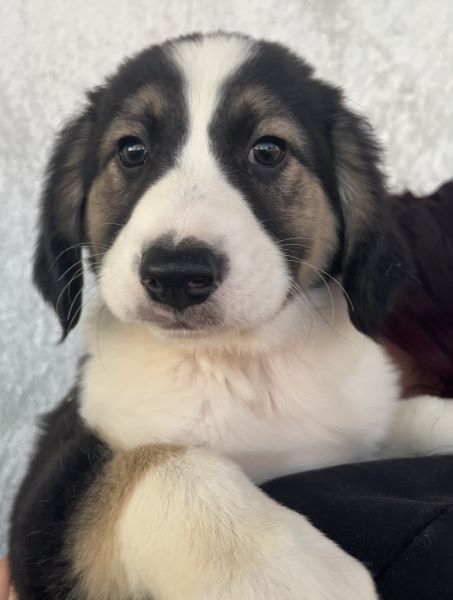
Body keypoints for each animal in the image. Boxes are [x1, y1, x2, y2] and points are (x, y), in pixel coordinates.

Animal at [9, 32, 453, 599]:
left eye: (267, 150)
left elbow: (411, 414)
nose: (176, 274)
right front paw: (283, 570)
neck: (236, 362)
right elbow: (156, 462)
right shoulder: (48, 492)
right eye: (132, 150)